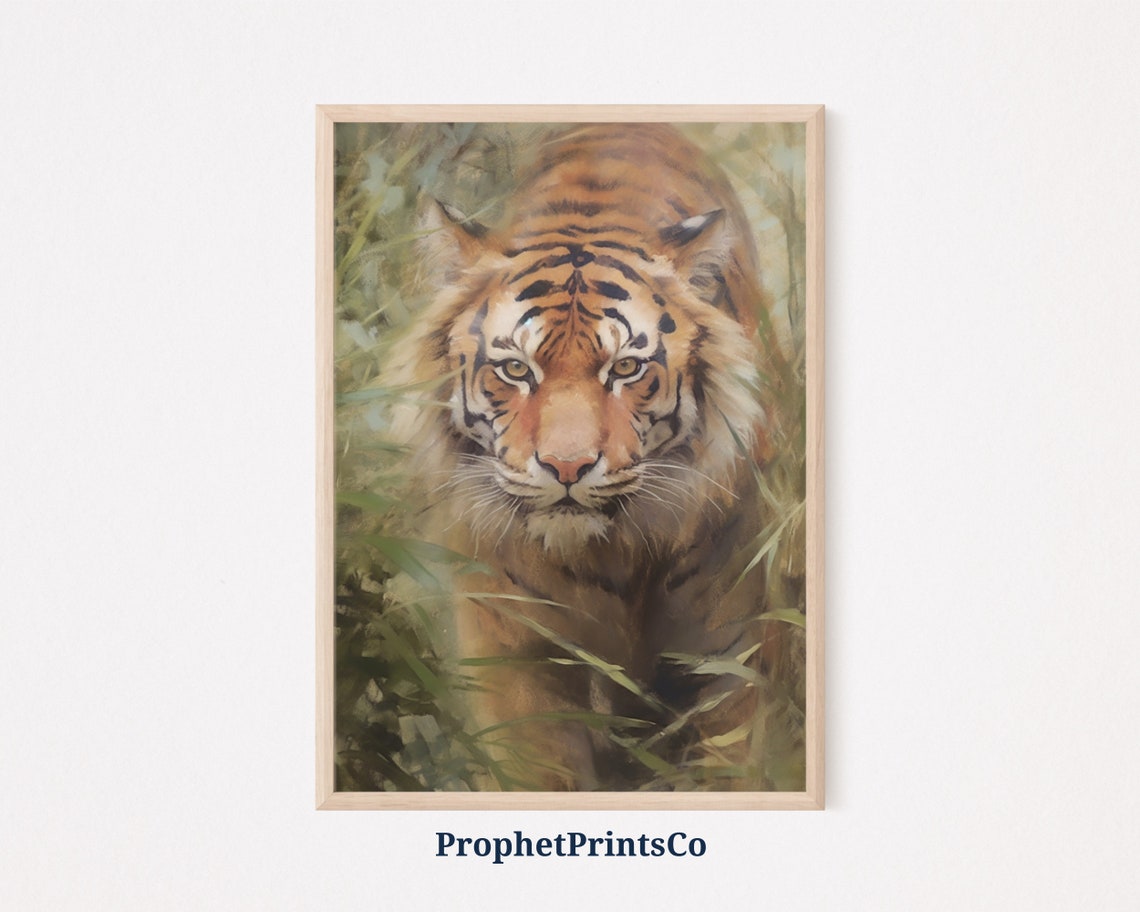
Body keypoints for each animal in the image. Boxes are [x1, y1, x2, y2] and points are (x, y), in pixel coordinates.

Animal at [385, 123, 798, 791]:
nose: (568, 468)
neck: (607, 558)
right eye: (515, 370)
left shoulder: (726, 647)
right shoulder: (514, 648)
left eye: (625, 368)